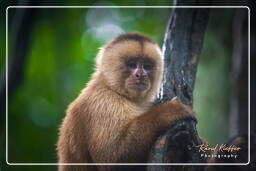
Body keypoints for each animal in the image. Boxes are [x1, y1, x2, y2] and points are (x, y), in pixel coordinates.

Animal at [56, 32, 196, 171]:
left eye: (147, 66)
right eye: (132, 64)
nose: (141, 75)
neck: (117, 91)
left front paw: (178, 148)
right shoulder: (101, 101)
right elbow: (113, 158)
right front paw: (170, 111)